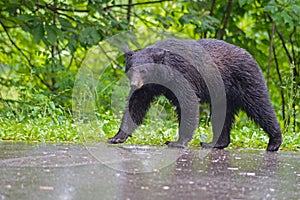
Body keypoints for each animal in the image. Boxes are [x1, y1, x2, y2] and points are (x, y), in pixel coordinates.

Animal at [108, 38, 284, 152]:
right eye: (130, 69)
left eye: (144, 70)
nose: (134, 84)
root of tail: (249, 54)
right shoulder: (146, 88)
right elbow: (135, 105)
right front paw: (117, 136)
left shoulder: (182, 76)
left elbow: (188, 102)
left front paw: (177, 141)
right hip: (223, 94)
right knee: (222, 115)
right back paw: (215, 143)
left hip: (246, 81)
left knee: (260, 106)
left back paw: (274, 142)